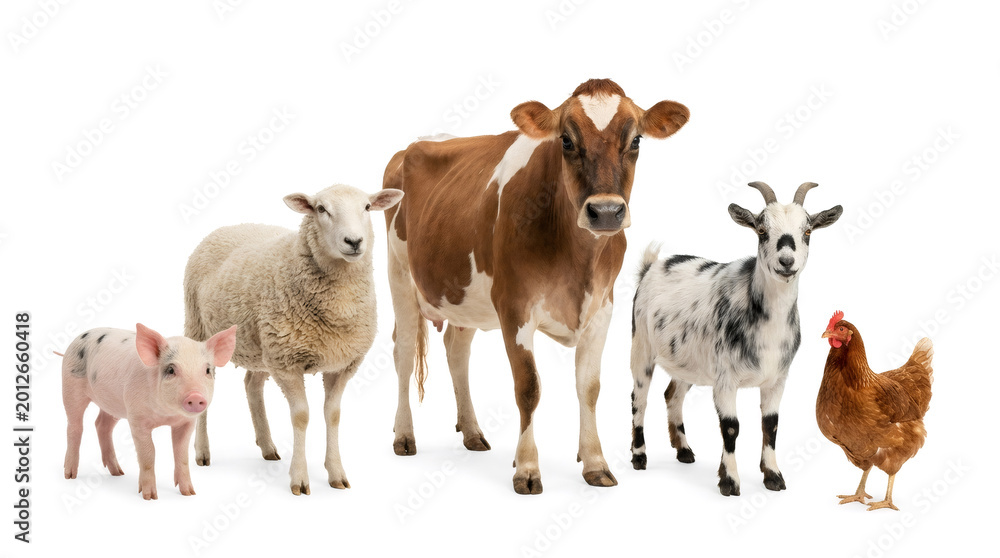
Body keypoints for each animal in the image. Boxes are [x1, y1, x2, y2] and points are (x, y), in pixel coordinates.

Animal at [183, 184, 404, 495]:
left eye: (367, 207)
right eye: (321, 209)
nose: (354, 241)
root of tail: (229, 226)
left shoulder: (342, 364)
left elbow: (332, 414)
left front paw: (336, 473)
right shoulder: (287, 362)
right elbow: (301, 416)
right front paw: (299, 478)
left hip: (260, 346)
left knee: (252, 385)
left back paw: (267, 447)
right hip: (200, 330)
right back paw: (202, 452)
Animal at [382, 79, 689, 494]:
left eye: (637, 139)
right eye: (566, 140)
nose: (606, 212)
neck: (578, 260)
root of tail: (411, 146)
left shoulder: (602, 309)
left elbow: (589, 387)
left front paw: (595, 462)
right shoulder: (515, 308)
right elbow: (528, 388)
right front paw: (527, 469)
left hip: (465, 296)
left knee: (457, 351)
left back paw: (472, 432)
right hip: (399, 273)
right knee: (402, 353)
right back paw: (404, 435)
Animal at [629, 181, 842, 496]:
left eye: (807, 231)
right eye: (761, 230)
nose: (786, 261)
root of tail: (651, 266)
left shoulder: (777, 379)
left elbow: (770, 425)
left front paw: (773, 476)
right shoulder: (725, 380)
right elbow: (731, 427)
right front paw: (729, 481)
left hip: (687, 361)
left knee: (672, 395)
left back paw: (684, 450)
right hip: (641, 346)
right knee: (639, 398)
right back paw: (639, 456)